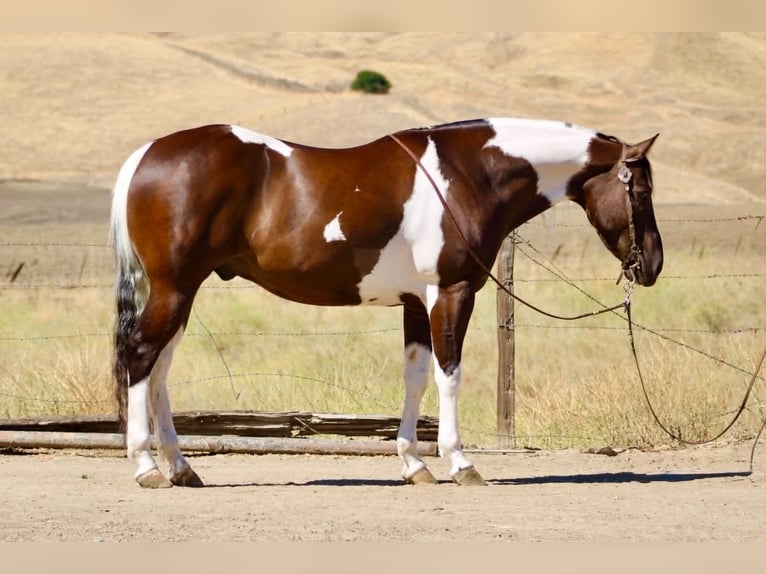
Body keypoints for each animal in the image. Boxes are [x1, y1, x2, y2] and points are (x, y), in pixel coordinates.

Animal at [110, 117, 663, 488]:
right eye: (641, 191)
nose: (653, 265)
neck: (469, 176)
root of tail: (145, 154)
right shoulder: (451, 293)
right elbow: (449, 374)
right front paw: (460, 463)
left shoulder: (416, 304)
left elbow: (416, 377)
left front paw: (415, 465)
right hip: (175, 289)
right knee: (141, 356)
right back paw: (146, 467)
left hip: (182, 293)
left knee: (159, 370)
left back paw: (181, 467)